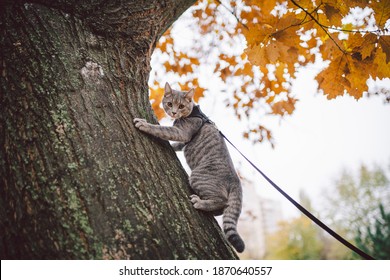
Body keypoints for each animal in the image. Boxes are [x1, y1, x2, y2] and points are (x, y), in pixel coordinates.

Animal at [134, 82, 244, 253]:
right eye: (169, 103)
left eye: (181, 106)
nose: (173, 112)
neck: (192, 112)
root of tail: (236, 179)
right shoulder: (183, 139)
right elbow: (176, 144)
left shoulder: (181, 132)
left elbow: (162, 129)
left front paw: (144, 124)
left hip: (198, 177)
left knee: (222, 201)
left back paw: (199, 202)